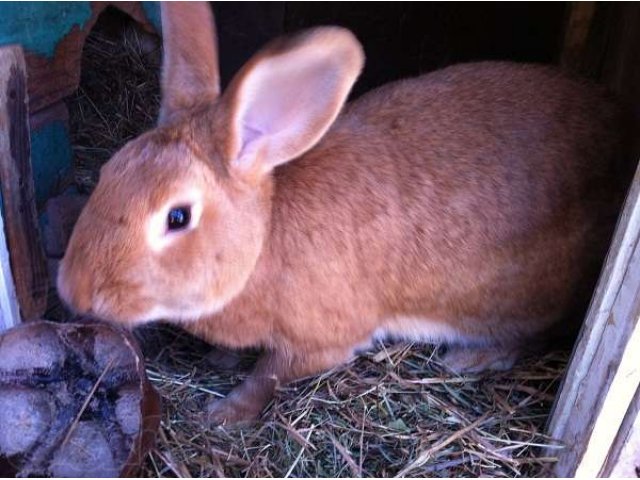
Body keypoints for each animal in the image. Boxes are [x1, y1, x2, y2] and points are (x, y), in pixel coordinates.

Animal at [58, 2, 632, 424]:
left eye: (177, 217)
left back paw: (472, 357)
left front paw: (224, 413)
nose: (72, 290)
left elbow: (267, 375)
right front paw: (219, 361)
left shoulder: (320, 342)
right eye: (109, 171)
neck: (263, 241)